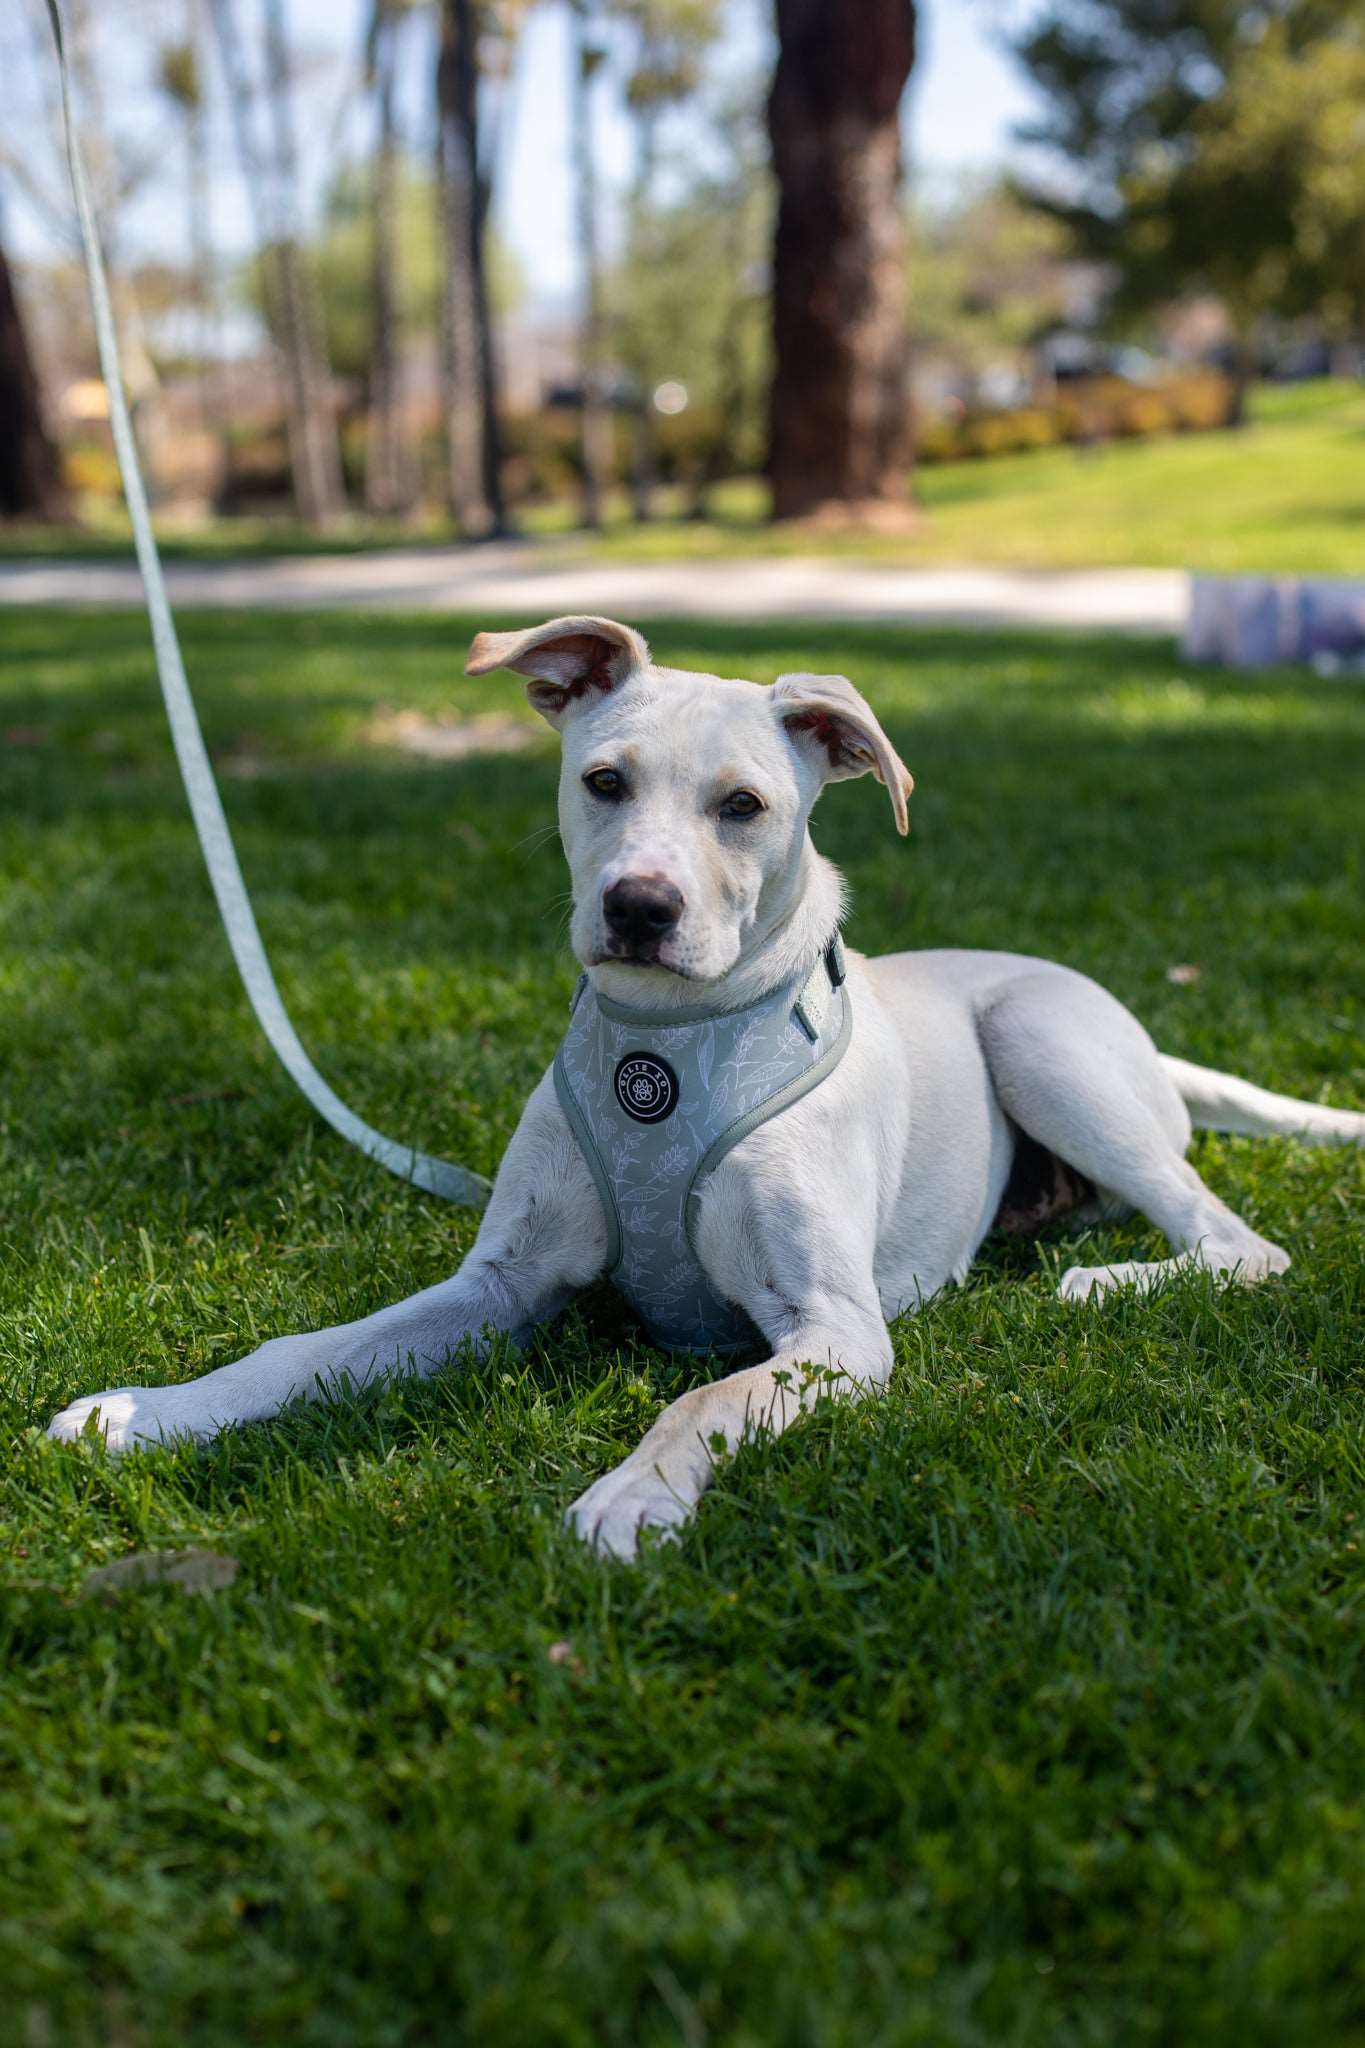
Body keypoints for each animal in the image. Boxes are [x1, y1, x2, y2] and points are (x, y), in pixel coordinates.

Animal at [48, 614, 1358, 1556]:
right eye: (603, 782)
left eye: (744, 805)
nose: (639, 906)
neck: (665, 1054)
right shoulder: (498, 1284)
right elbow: (304, 1347)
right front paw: (150, 1410)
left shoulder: (835, 1328)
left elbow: (706, 1401)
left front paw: (635, 1495)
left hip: (1039, 1038)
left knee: (1241, 1241)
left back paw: (1105, 1281)